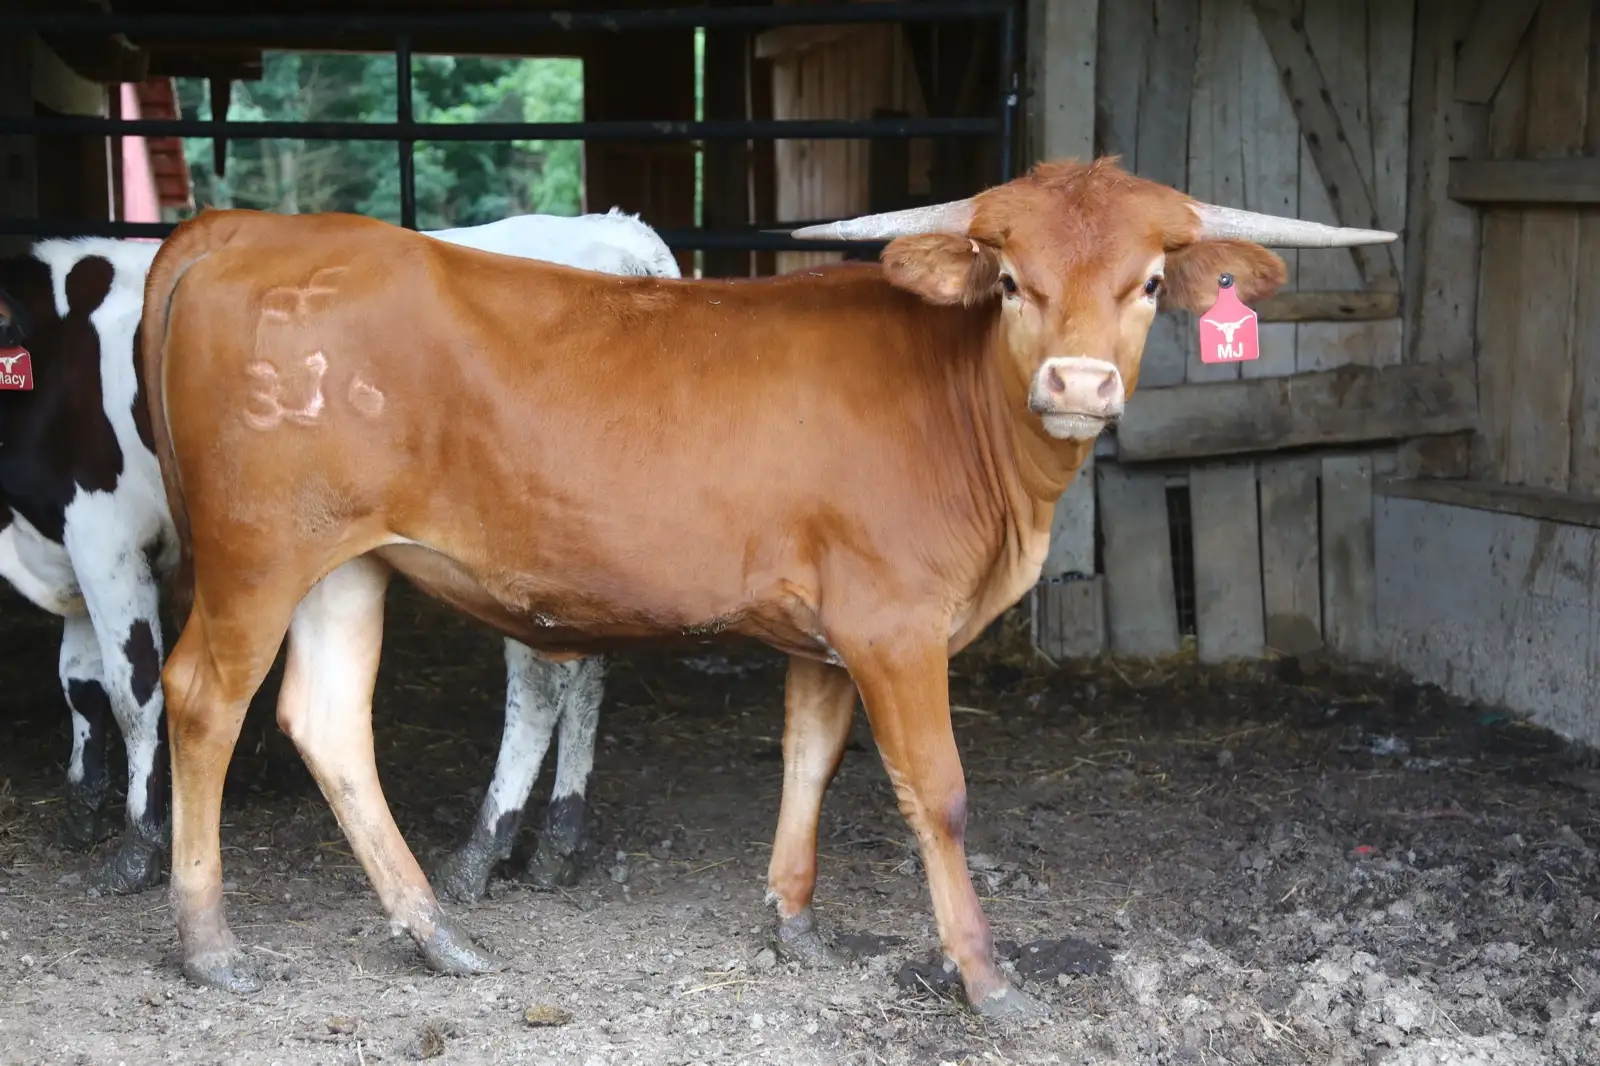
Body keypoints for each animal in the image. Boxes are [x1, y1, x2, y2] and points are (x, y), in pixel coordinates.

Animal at [0, 207, 675, 897]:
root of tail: (615, 235)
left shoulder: (105, 535)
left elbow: (132, 691)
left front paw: (137, 846)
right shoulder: (68, 550)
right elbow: (78, 683)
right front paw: (81, 807)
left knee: (542, 687)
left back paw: (480, 852)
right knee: (586, 679)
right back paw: (557, 846)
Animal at [139, 156, 1394, 1017]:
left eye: (1144, 283)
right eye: (1011, 281)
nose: (1077, 384)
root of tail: (245, 230)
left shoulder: (827, 632)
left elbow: (810, 761)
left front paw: (793, 919)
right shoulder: (895, 623)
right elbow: (936, 791)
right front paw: (984, 974)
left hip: (343, 564)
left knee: (327, 720)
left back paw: (433, 929)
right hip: (257, 553)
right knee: (202, 698)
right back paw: (206, 944)